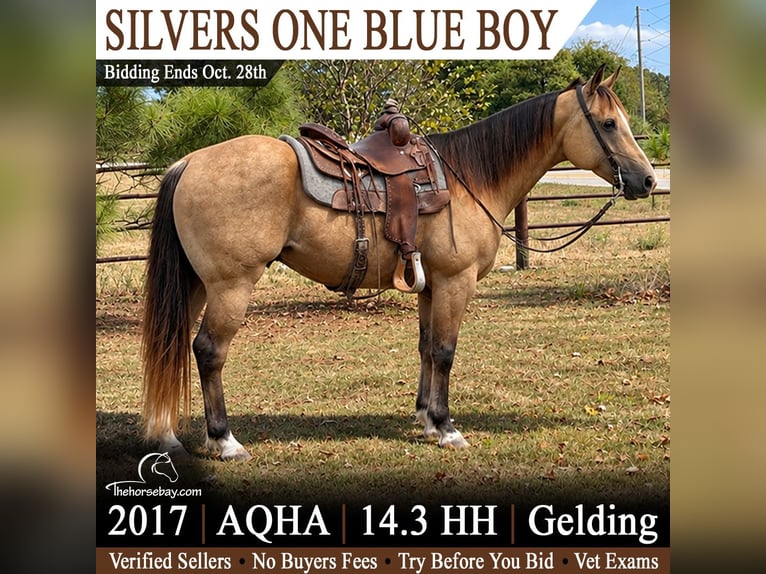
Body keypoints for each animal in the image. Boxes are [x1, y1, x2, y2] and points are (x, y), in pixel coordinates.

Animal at [141, 65, 656, 460]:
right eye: (608, 124)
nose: (648, 180)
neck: (470, 178)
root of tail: (188, 162)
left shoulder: (432, 286)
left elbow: (427, 349)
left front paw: (426, 418)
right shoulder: (455, 282)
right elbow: (445, 352)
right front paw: (447, 428)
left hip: (196, 285)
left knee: (172, 345)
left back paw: (166, 436)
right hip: (231, 285)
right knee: (208, 351)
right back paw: (225, 440)